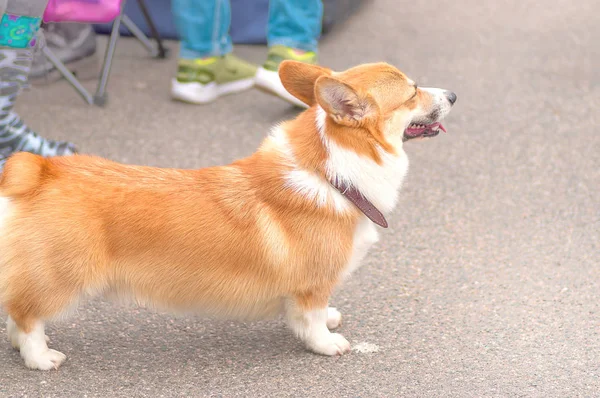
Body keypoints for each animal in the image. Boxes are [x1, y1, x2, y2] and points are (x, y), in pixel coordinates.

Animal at [0, 61, 454, 370]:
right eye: (412, 92)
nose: (453, 96)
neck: (332, 173)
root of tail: (41, 170)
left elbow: (316, 312)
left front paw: (330, 319)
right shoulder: (312, 283)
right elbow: (310, 320)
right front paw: (327, 343)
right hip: (65, 279)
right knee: (26, 314)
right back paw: (40, 357)